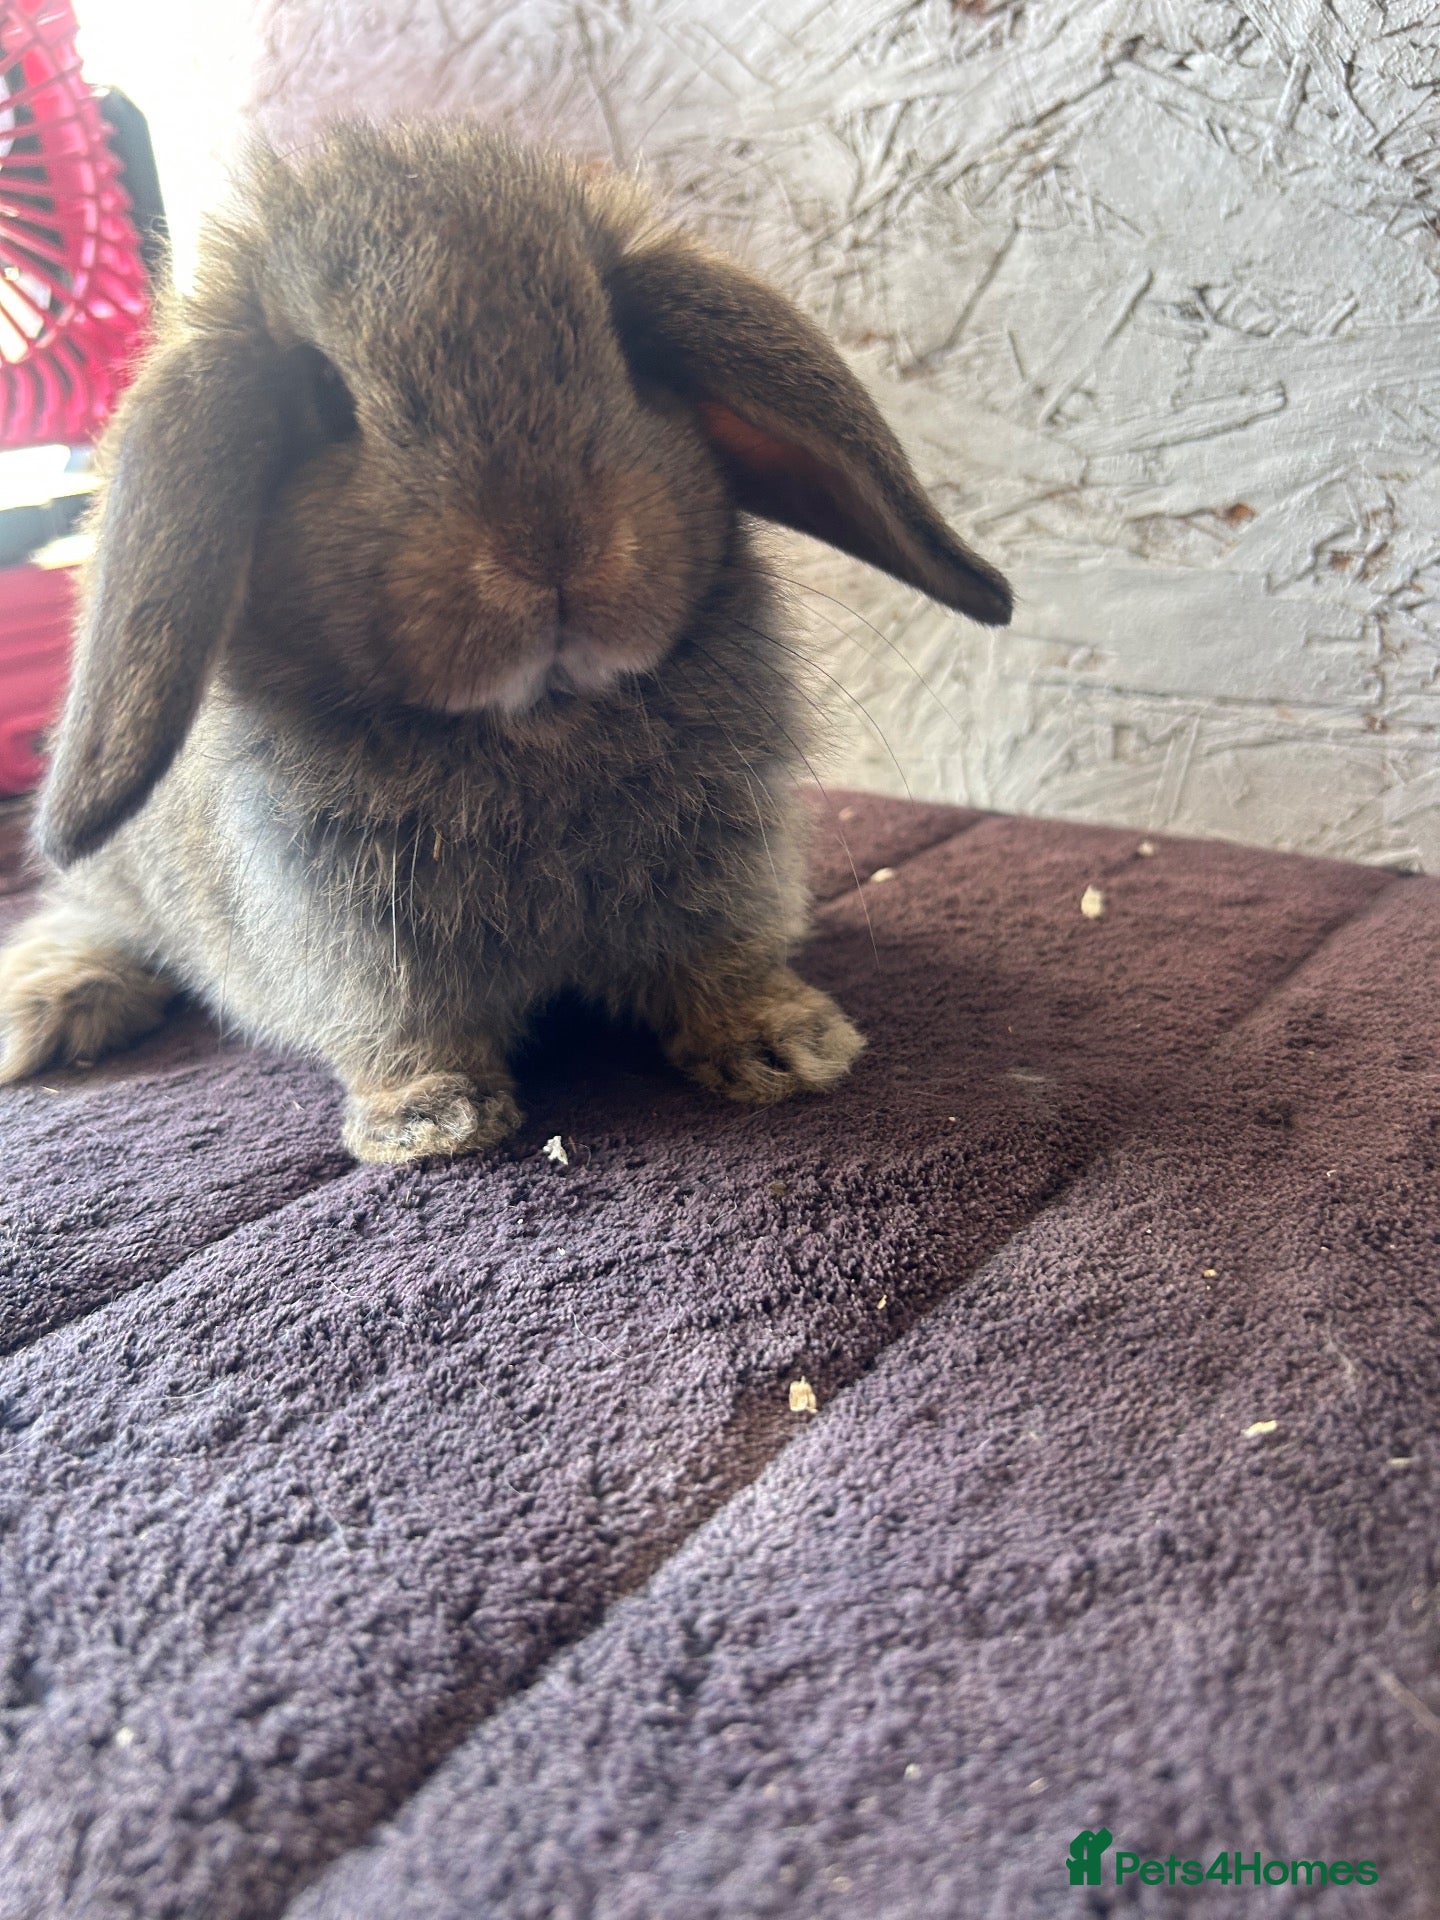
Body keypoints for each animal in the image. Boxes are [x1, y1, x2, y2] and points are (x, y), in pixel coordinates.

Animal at [0, 121, 1012, 1164]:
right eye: (322, 397)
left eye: (624, 349)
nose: (553, 548)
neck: (539, 724)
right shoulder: (352, 934)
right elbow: (403, 1026)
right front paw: (431, 1122)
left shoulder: (724, 874)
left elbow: (722, 965)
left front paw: (792, 1047)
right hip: (122, 878)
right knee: (88, 918)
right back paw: (43, 1015)